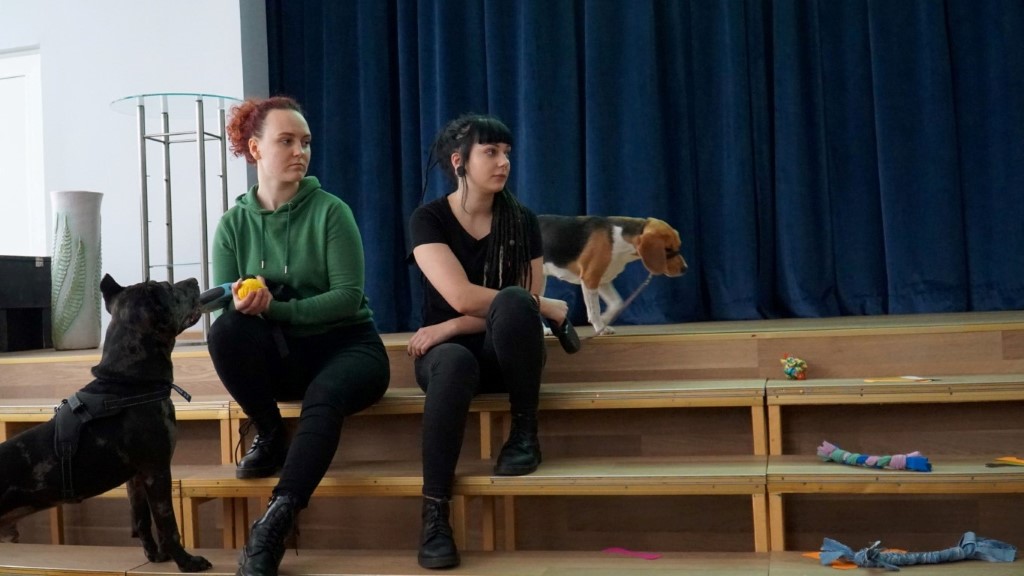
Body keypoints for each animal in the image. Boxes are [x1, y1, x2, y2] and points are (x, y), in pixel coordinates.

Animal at [0, 275, 211, 573]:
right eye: (169, 287)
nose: (193, 279)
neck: (128, 383)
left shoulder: (136, 477)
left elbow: (141, 519)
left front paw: (156, 556)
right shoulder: (157, 470)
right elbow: (167, 522)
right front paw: (186, 561)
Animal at [539, 215, 687, 335]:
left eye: (678, 246)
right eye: (667, 249)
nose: (685, 269)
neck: (618, 238)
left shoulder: (602, 280)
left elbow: (617, 303)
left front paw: (605, 318)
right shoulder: (590, 278)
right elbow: (594, 309)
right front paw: (600, 327)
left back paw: (544, 330)